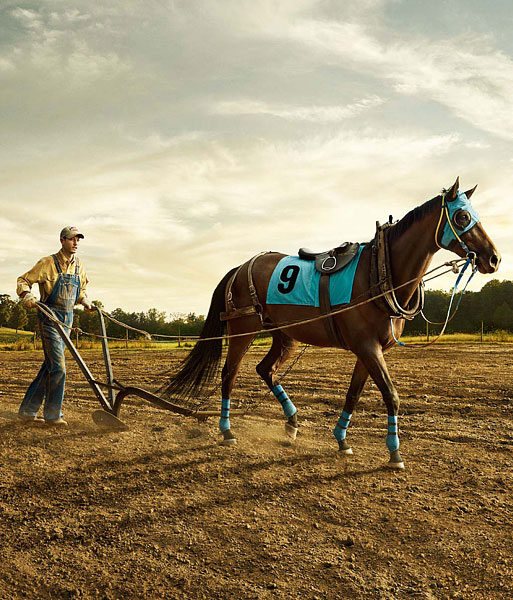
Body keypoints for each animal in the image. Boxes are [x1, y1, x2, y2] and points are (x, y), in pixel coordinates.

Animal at [164, 178, 500, 468]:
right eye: (461, 217)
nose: (494, 258)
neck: (379, 271)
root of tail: (241, 266)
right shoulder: (367, 347)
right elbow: (391, 395)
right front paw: (394, 452)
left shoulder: (370, 350)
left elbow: (354, 393)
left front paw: (341, 438)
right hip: (243, 329)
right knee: (229, 374)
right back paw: (227, 430)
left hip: (284, 335)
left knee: (265, 370)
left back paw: (292, 422)